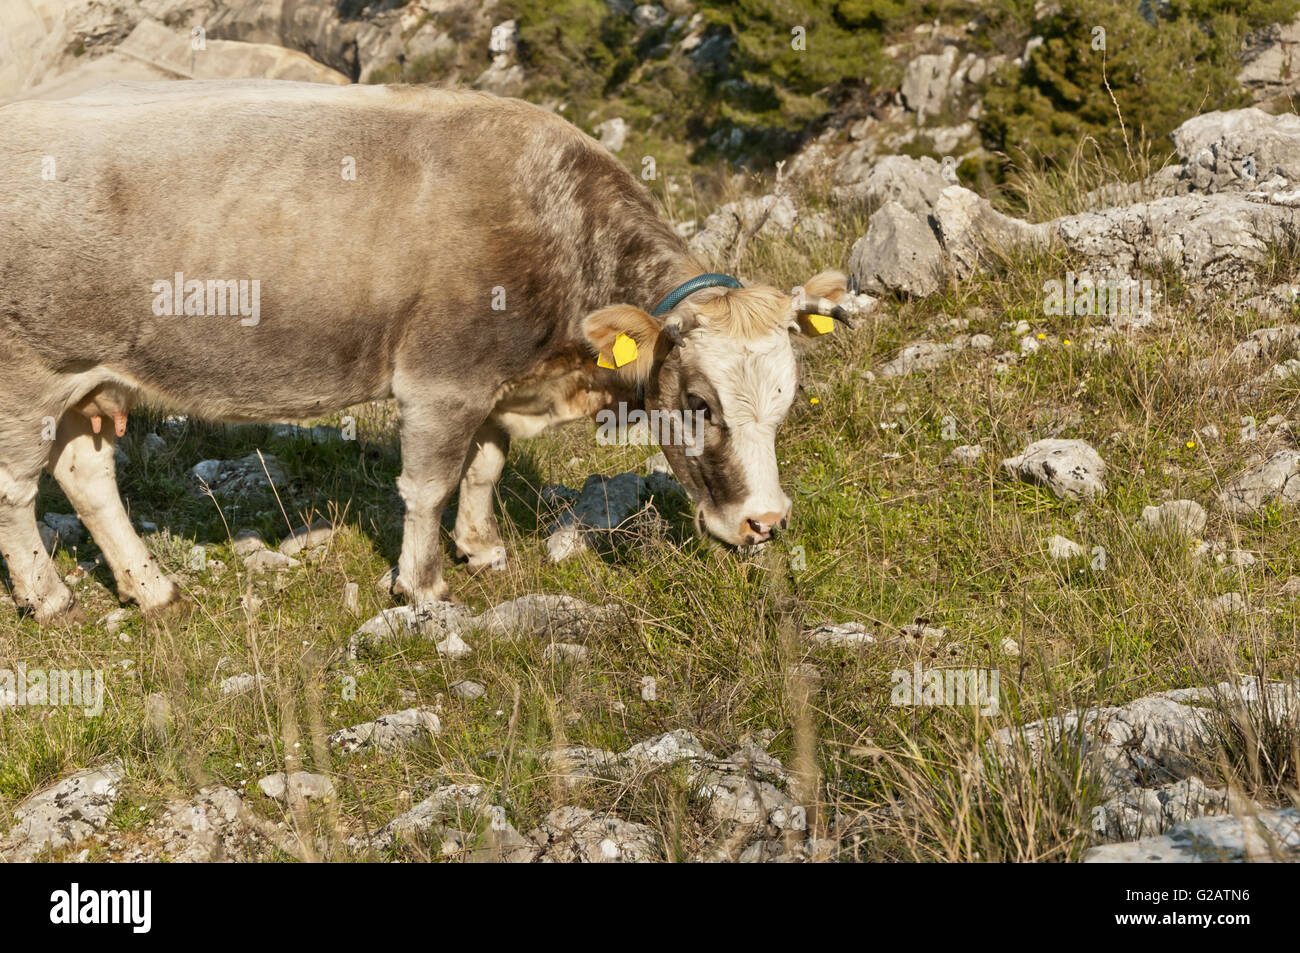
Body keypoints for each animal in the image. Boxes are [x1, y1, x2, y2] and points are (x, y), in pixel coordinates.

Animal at [2, 78, 852, 621]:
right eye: (701, 403)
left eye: (784, 402)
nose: (765, 523)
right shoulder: (442, 378)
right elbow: (429, 485)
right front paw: (424, 585)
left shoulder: (497, 380)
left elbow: (487, 464)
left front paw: (482, 547)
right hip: (27, 376)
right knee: (17, 490)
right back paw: (49, 598)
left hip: (84, 378)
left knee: (86, 474)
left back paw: (152, 589)